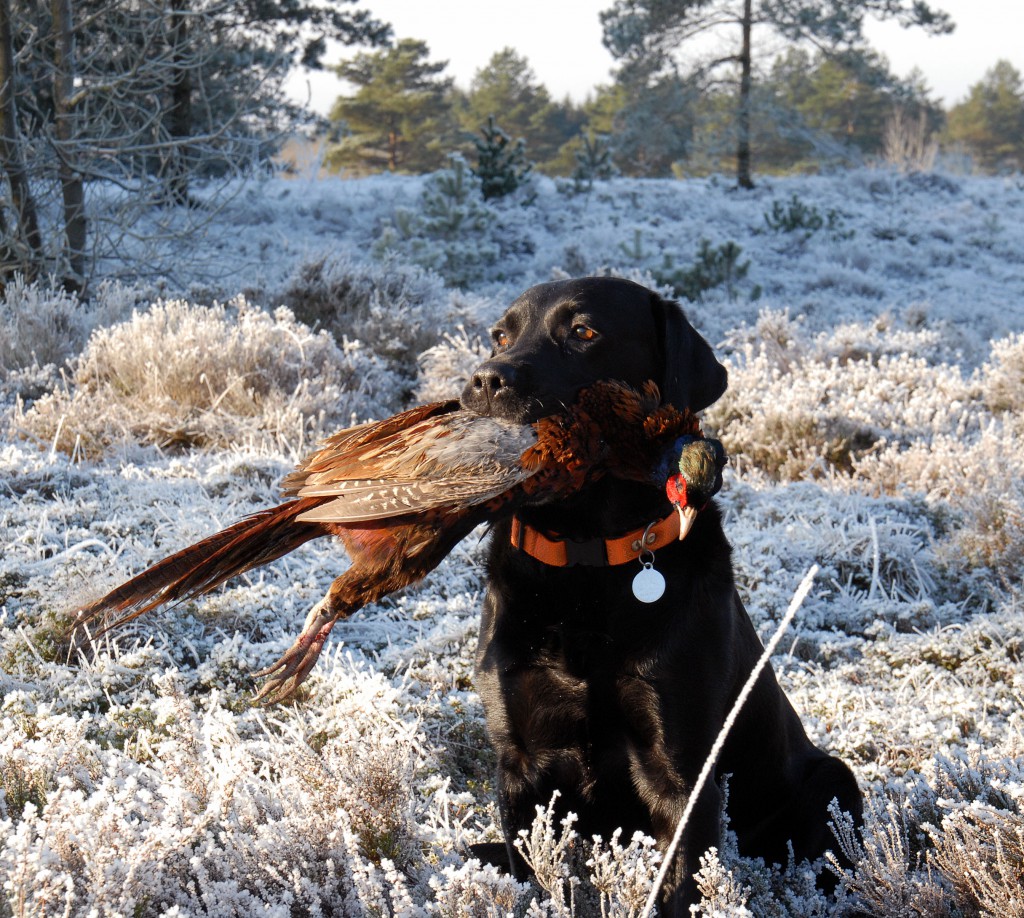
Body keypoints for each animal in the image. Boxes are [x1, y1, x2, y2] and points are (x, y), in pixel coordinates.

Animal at [460, 278, 860, 909]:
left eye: (584, 331)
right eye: (499, 335)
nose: (485, 380)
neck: (587, 556)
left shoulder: (682, 773)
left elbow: (678, 886)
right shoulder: (518, 763)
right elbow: (534, 877)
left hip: (833, 782)